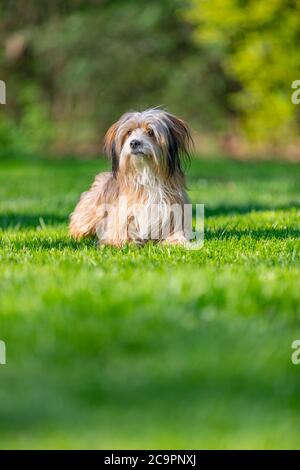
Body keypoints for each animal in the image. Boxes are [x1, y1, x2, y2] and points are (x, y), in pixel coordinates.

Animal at [69, 107, 193, 246]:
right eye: (129, 132)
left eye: (150, 132)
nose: (134, 143)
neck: (146, 174)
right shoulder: (124, 212)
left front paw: (177, 241)